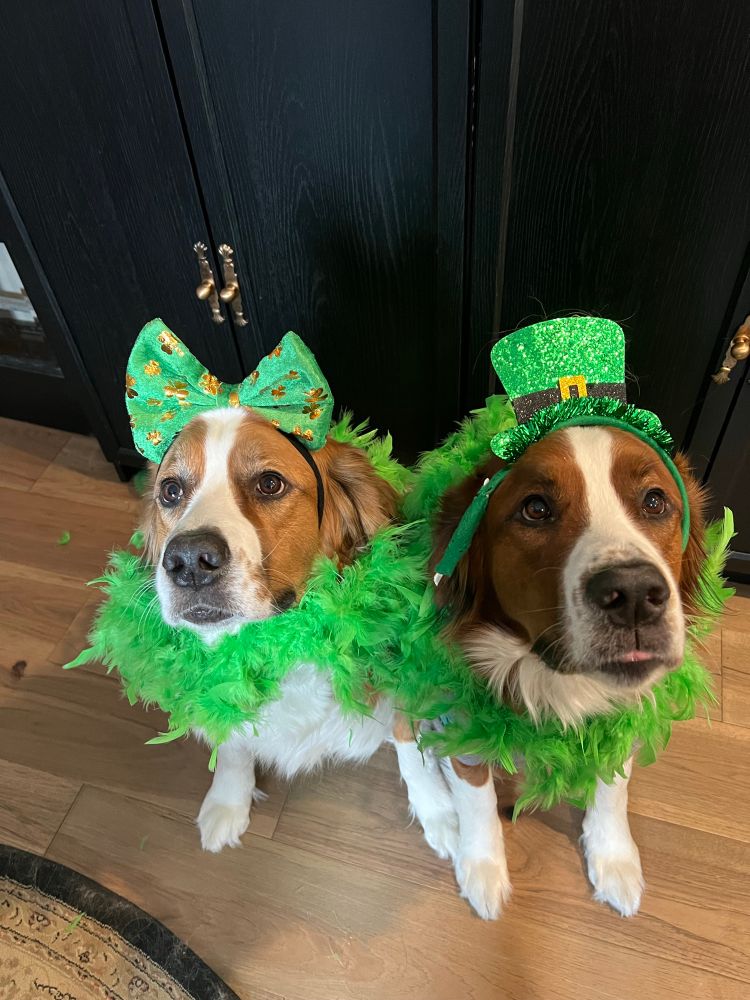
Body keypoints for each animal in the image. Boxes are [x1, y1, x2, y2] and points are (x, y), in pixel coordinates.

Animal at [392, 423, 706, 919]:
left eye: (655, 501)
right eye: (536, 509)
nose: (635, 594)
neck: (555, 683)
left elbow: (614, 784)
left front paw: (613, 856)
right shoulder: (466, 716)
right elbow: (476, 795)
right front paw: (482, 867)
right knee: (402, 728)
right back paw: (437, 811)